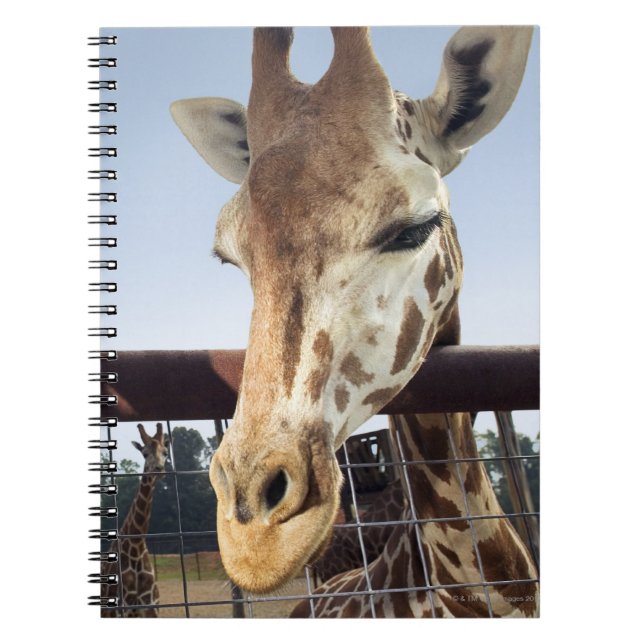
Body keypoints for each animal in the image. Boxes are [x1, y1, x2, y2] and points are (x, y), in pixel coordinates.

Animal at [101, 423, 168, 617]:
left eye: (165, 452)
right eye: (144, 453)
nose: (159, 469)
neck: (136, 546)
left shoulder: (152, 608)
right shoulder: (127, 610)